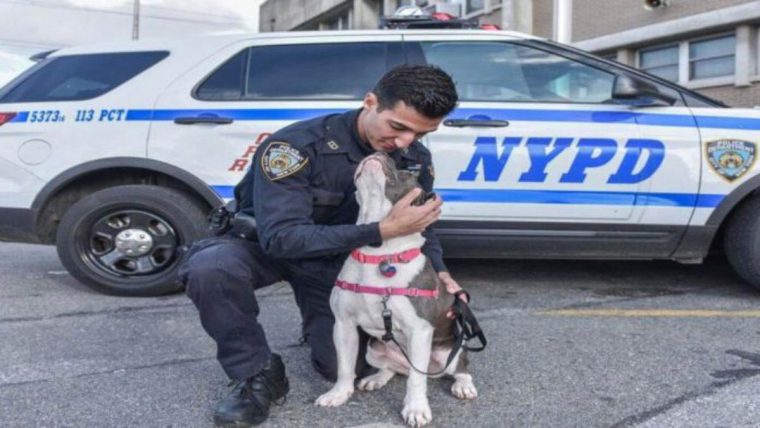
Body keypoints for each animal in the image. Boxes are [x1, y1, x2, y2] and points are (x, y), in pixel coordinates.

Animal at [314, 152, 476, 426]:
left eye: (407, 172)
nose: (379, 152)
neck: (379, 254)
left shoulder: (419, 331)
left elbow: (416, 381)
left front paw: (416, 409)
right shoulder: (344, 325)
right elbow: (344, 366)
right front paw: (339, 394)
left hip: (451, 350)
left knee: (458, 366)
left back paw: (463, 385)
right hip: (373, 349)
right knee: (393, 369)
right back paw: (376, 378)